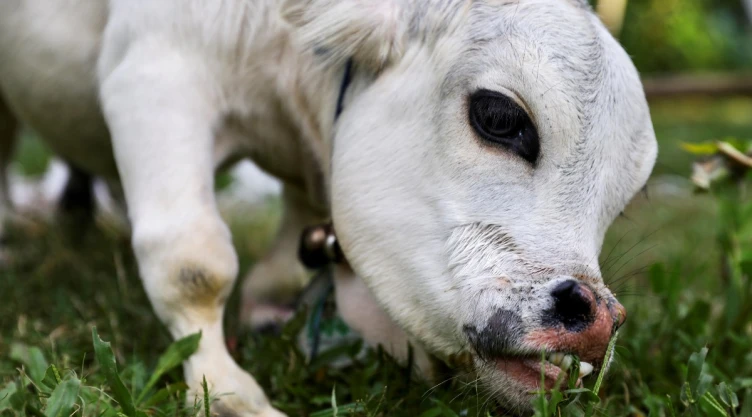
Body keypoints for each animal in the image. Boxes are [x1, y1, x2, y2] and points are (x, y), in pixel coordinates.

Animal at [0, 0, 657, 415]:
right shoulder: (156, 70)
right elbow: (193, 264)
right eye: (499, 115)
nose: (597, 320)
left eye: (624, 199)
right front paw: (227, 391)